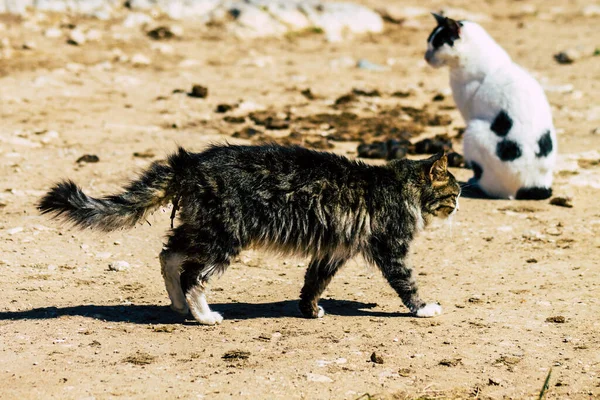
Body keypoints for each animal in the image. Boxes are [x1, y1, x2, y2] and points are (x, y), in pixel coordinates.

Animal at [424, 13, 556, 198]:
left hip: (473, 131)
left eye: (436, 45)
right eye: (428, 42)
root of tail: (532, 186)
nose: (426, 56)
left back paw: (475, 183)